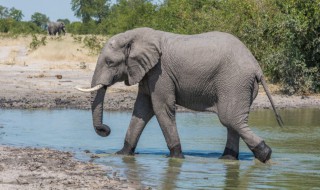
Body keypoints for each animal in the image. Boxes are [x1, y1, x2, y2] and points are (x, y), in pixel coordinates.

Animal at [77, 26, 282, 163]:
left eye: (110, 62)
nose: (106, 129)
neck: (134, 36)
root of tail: (256, 67)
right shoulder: (149, 73)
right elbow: (142, 110)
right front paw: (122, 154)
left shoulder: (161, 73)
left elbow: (161, 108)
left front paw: (176, 157)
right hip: (239, 85)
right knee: (233, 121)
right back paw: (228, 159)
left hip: (234, 82)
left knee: (229, 119)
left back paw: (265, 155)